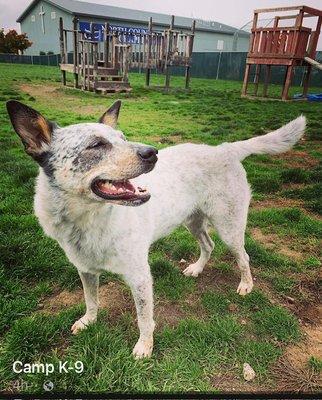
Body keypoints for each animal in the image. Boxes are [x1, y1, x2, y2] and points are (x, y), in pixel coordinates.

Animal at [6, 101, 306, 360]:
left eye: (123, 137)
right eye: (96, 144)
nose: (152, 153)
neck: (88, 221)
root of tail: (224, 149)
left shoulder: (140, 276)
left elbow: (144, 318)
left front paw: (144, 347)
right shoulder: (85, 270)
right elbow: (91, 301)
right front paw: (88, 321)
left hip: (229, 226)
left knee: (243, 256)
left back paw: (245, 284)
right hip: (193, 221)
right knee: (208, 245)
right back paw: (196, 269)